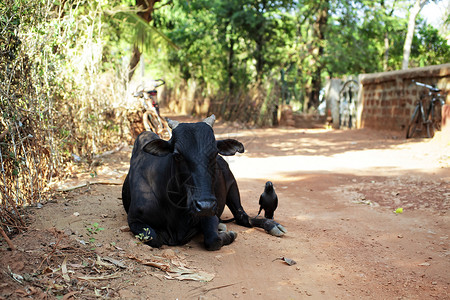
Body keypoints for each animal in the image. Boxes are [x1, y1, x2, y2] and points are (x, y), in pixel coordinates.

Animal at [123, 115, 284, 251]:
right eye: (177, 155)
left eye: (215, 152)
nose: (205, 205)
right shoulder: (134, 219)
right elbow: (154, 238)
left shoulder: (210, 214)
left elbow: (213, 240)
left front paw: (229, 235)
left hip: (233, 187)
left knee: (242, 217)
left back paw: (272, 225)